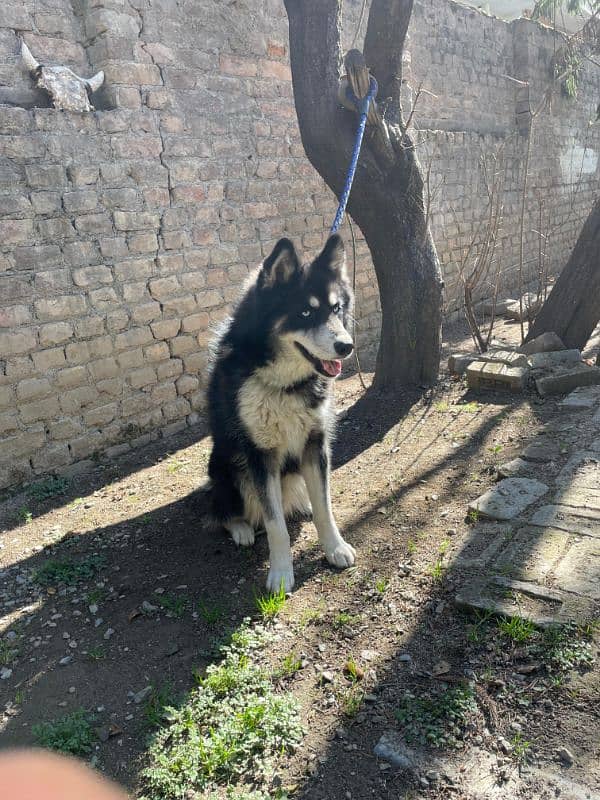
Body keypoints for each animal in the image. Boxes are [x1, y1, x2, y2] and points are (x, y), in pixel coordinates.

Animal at [206, 234, 356, 592]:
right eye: (304, 312)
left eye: (336, 308)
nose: (347, 346)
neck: (285, 385)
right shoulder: (260, 454)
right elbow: (275, 525)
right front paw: (281, 573)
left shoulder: (315, 444)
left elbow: (325, 508)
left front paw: (335, 548)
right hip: (227, 468)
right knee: (221, 511)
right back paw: (241, 528)